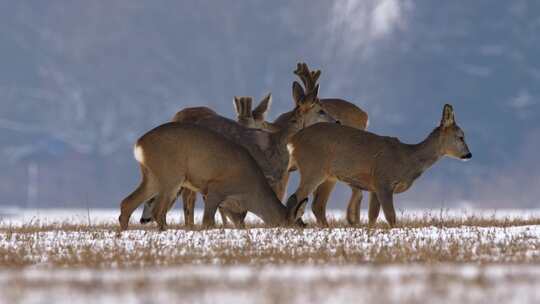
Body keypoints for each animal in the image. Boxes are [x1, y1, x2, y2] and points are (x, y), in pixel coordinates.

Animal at [118, 123, 302, 230]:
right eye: (295, 223)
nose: (303, 226)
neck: (252, 192)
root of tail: (139, 144)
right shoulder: (215, 189)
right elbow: (208, 222)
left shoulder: (229, 206)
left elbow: (238, 223)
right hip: (171, 176)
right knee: (157, 211)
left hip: (152, 176)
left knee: (127, 203)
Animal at [284, 104, 470, 226]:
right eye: (460, 137)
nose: (469, 154)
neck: (408, 159)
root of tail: (293, 140)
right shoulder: (383, 181)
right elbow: (391, 217)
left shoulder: (374, 187)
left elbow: (373, 216)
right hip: (313, 167)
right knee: (295, 198)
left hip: (328, 175)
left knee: (317, 205)